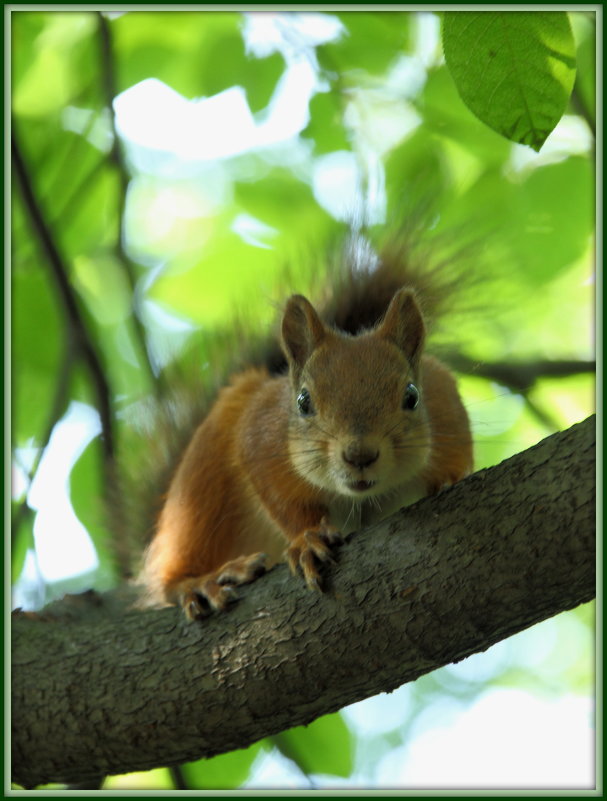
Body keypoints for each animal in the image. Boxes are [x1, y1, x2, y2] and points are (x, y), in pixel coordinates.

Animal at [141, 231, 476, 620]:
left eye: (412, 396)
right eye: (303, 402)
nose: (359, 455)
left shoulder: (445, 405)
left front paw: (451, 479)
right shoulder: (262, 436)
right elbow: (282, 499)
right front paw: (307, 540)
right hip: (198, 488)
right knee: (174, 570)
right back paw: (198, 582)